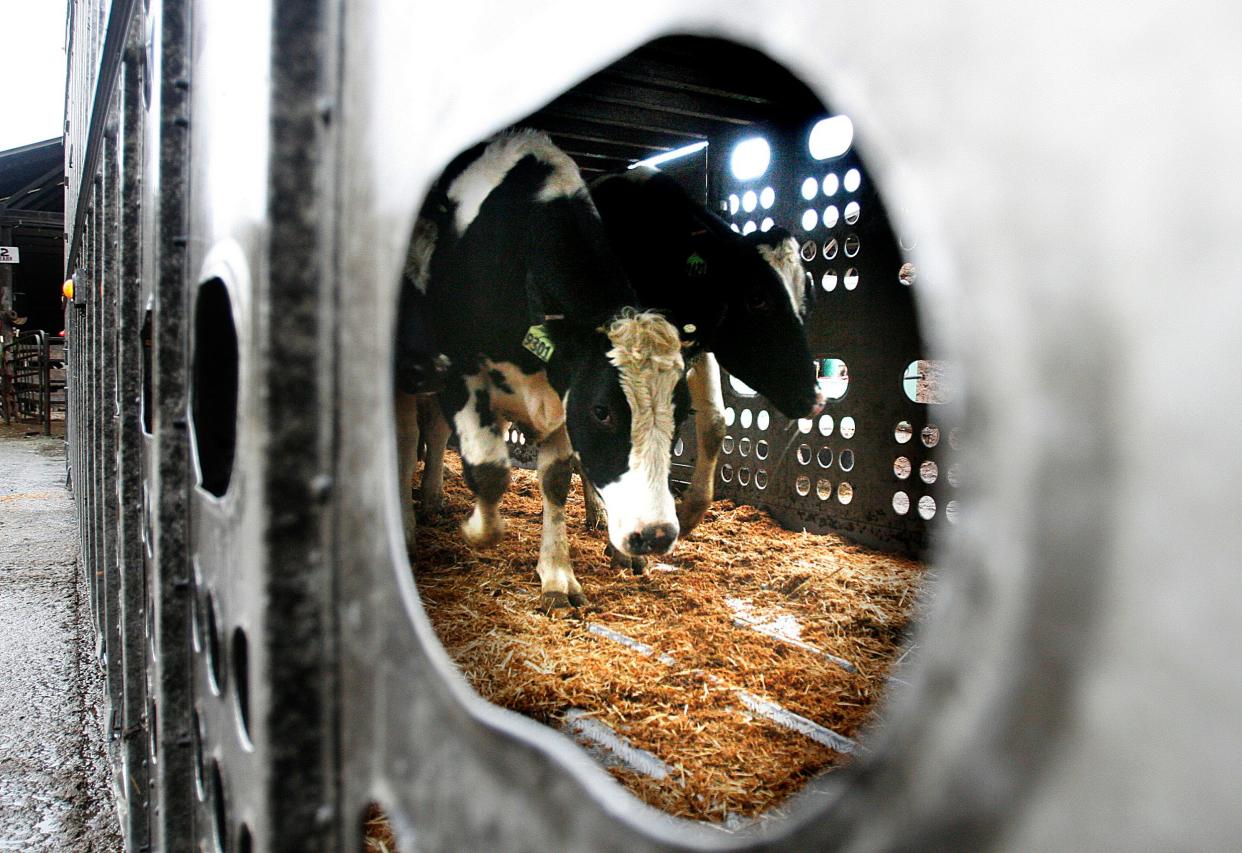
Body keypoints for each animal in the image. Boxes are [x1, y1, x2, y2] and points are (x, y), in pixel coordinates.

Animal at [394, 130, 690, 610]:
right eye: (602, 411)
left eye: (681, 414)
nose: (657, 535)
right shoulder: (457, 374)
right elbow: (490, 471)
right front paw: (479, 530)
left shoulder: (560, 394)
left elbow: (554, 481)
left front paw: (556, 576)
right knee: (407, 439)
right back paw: (408, 523)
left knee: (434, 432)